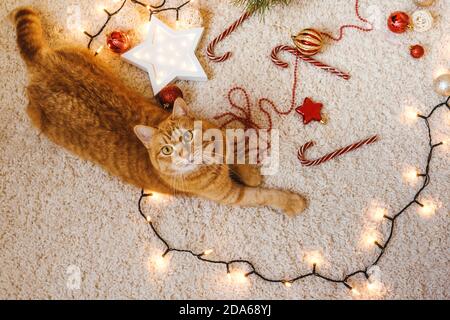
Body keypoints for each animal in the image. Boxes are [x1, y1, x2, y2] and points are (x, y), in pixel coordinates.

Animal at [14, 7, 310, 216]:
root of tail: (40, 63)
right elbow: (264, 195)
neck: (210, 162)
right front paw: (289, 201)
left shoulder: (219, 137)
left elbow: (232, 151)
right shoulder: (232, 196)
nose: (185, 154)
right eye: (166, 150)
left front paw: (250, 173)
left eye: (187, 136)